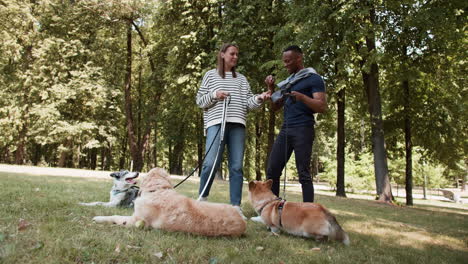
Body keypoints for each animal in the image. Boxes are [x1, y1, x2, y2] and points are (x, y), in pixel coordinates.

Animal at [91, 168, 247, 236]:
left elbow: (115, 217)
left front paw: (98, 218)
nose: (137, 172)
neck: (157, 190)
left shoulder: (134, 220)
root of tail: (242, 220)